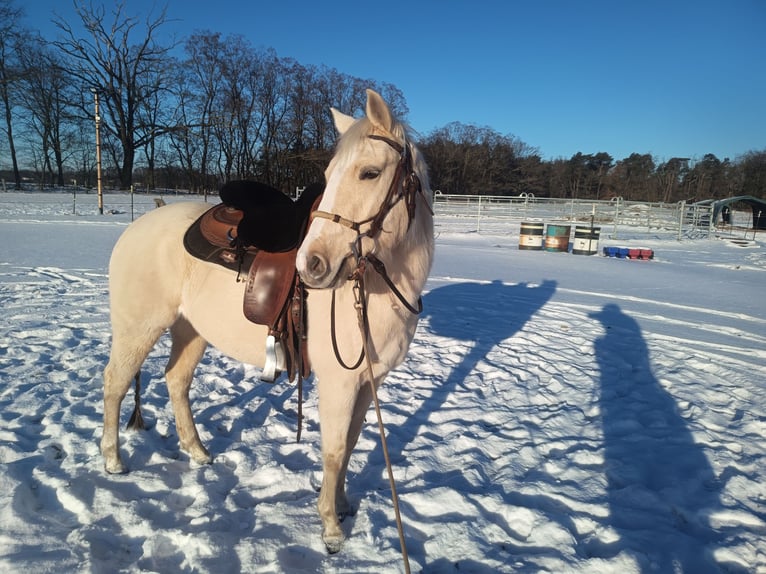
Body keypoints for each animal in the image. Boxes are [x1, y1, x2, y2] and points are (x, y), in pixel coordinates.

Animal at [100, 88, 435, 553]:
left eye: (370, 172)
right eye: (330, 174)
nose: (312, 265)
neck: (373, 286)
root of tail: (136, 227)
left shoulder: (370, 380)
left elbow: (350, 444)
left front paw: (344, 505)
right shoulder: (339, 381)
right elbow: (334, 450)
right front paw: (331, 529)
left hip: (192, 331)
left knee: (176, 381)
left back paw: (197, 451)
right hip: (139, 328)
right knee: (115, 383)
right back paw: (113, 461)